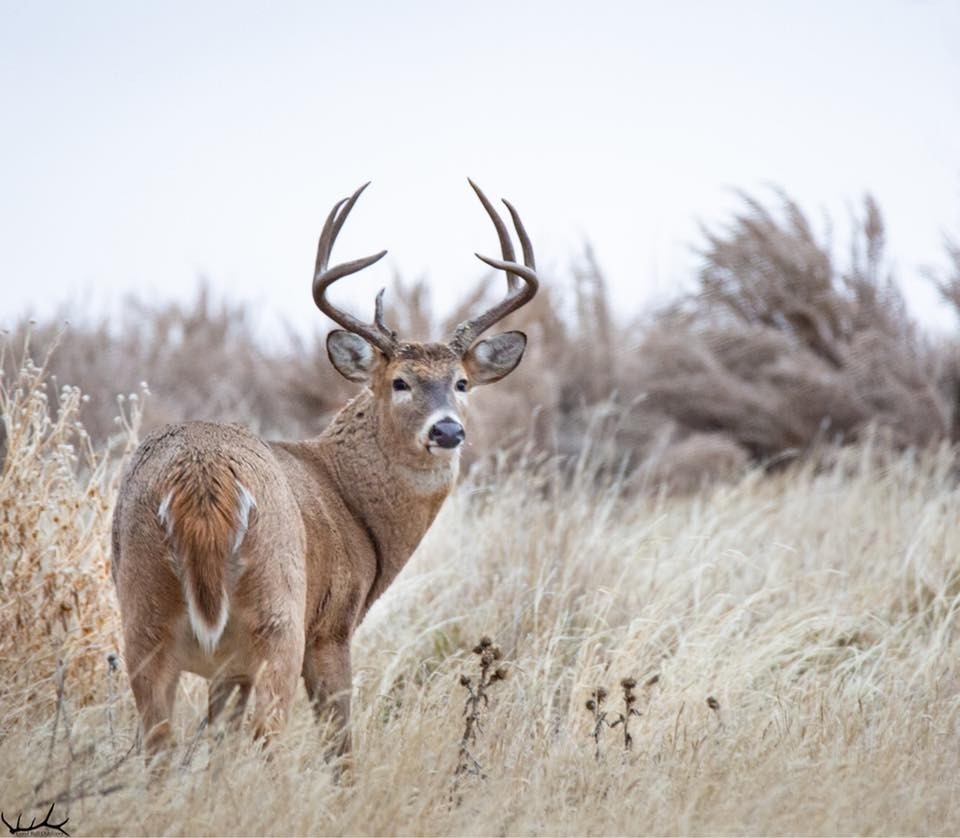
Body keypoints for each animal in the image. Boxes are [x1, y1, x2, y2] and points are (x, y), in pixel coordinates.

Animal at [112, 179, 540, 760]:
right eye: (400, 381)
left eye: (462, 382)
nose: (448, 431)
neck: (350, 501)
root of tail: (201, 479)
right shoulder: (333, 625)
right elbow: (342, 744)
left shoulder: (229, 667)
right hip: (279, 615)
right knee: (266, 736)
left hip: (143, 610)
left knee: (158, 742)